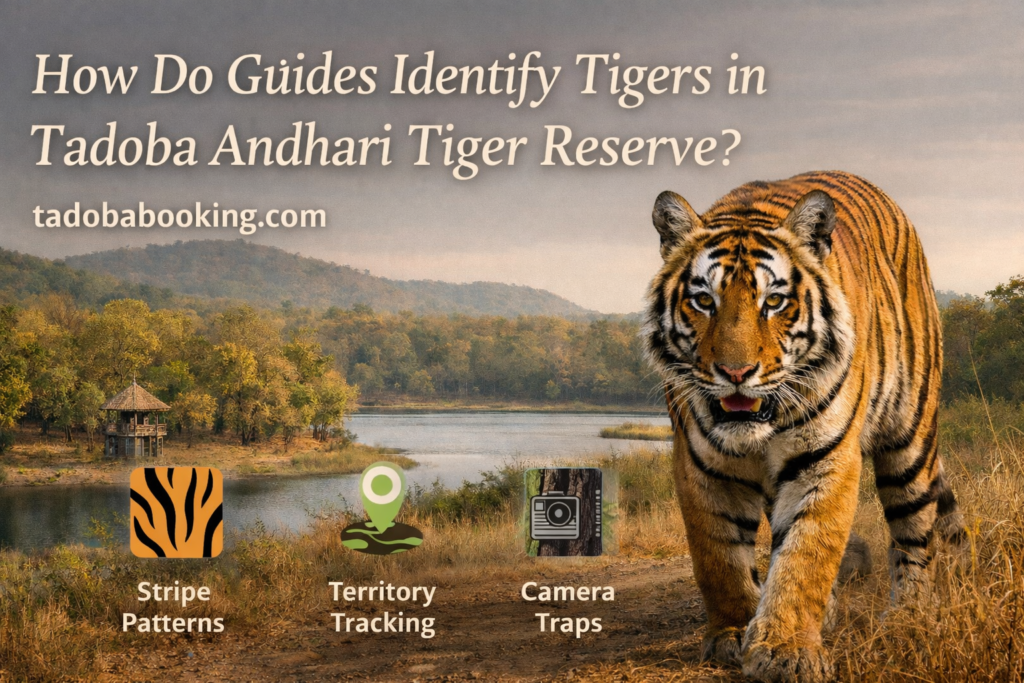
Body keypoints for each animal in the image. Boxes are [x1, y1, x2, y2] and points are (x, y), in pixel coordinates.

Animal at [641, 171, 964, 682]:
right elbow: (719, 556)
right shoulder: (702, 464)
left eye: (773, 301)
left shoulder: (826, 457)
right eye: (703, 301)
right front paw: (734, 632)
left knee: (915, 532)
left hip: (910, 441)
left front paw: (786, 650)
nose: (735, 372)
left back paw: (910, 614)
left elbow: (806, 553)